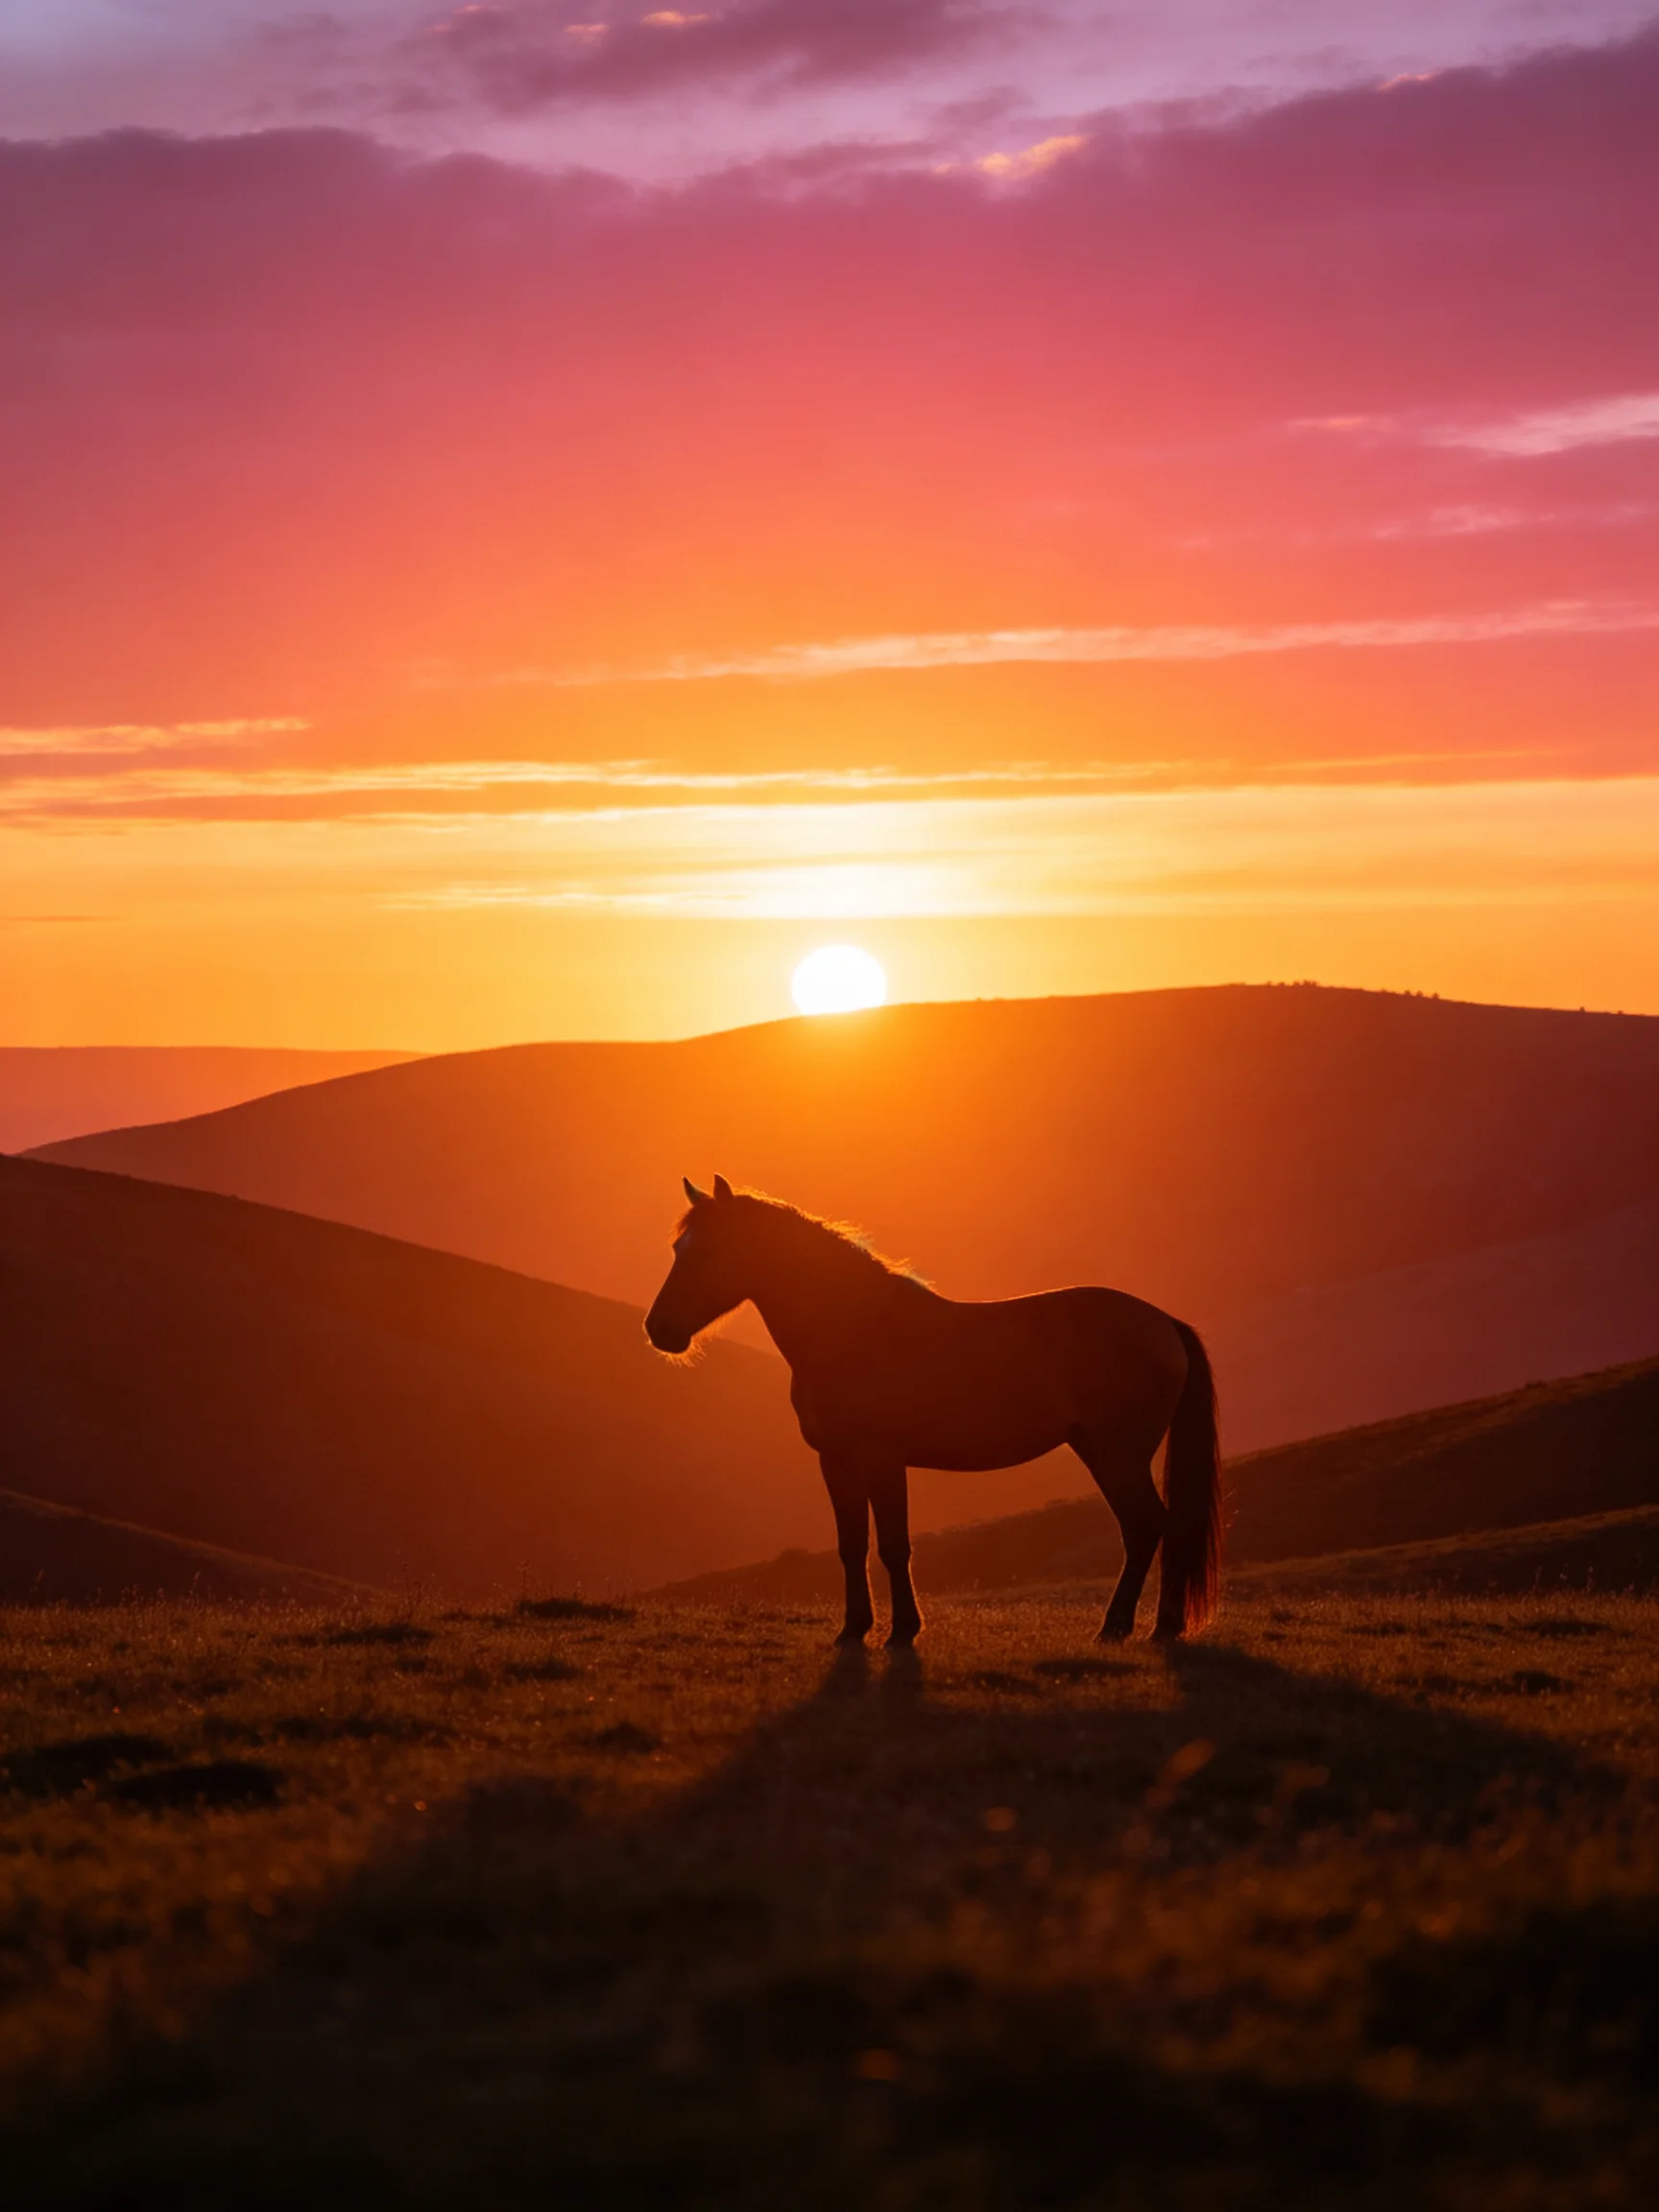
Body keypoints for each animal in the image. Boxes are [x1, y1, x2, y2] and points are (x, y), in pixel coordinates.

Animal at [644, 1175, 1222, 1647]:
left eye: (711, 1250)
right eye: (678, 1248)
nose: (659, 1330)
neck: (853, 1330)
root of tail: (1164, 1323)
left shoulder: (882, 1459)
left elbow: (893, 1546)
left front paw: (903, 1630)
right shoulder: (836, 1461)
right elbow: (851, 1545)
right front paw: (853, 1629)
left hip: (1116, 1455)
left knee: (1146, 1526)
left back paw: (1124, 1627)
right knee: (1150, 1527)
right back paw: (1152, 1626)